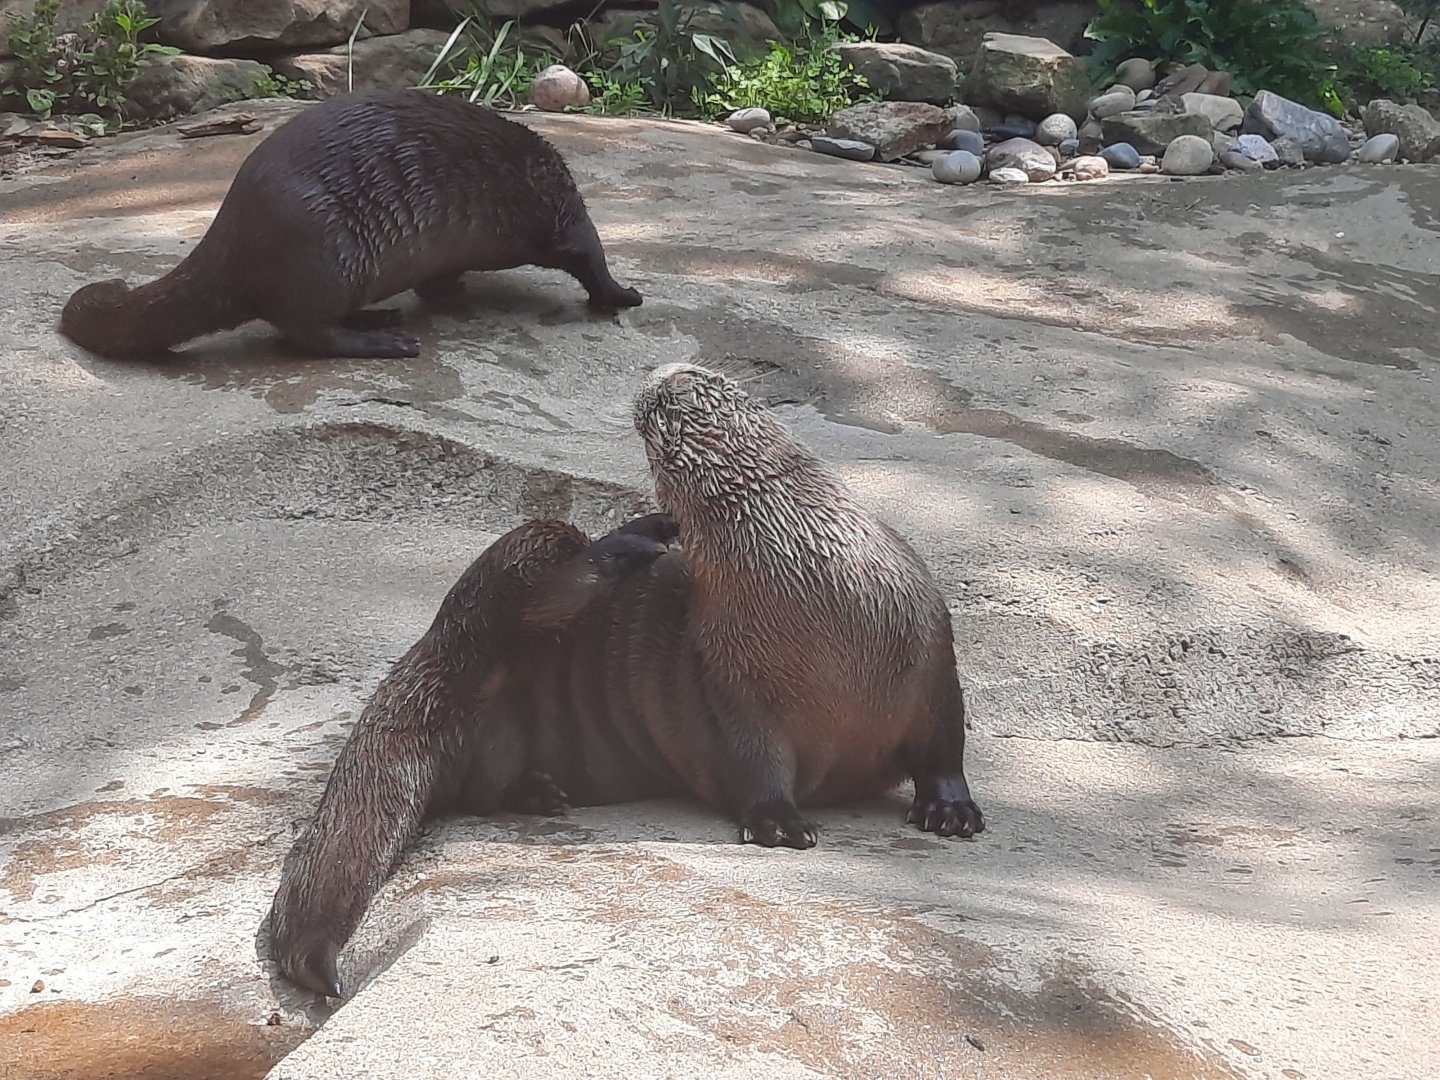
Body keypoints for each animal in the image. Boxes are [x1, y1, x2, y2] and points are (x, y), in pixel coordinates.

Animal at [60, 90, 641, 361]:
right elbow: (589, 255)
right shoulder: (560, 211)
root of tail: (231, 233)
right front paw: (622, 294)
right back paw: (385, 342)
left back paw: (380, 316)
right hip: (326, 249)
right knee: (305, 332)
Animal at [268, 364, 983, 998]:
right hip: (496, 599)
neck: (819, 604)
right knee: (532, 563)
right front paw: (778, 822)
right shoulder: (731, 688)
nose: (663, 374)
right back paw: (627, 544)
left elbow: (945, 744)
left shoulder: (930, 647)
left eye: (699, 387)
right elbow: (755, 763)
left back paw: (543, 788)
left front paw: (951, 811)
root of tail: (428, 655)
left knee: (482, 785)